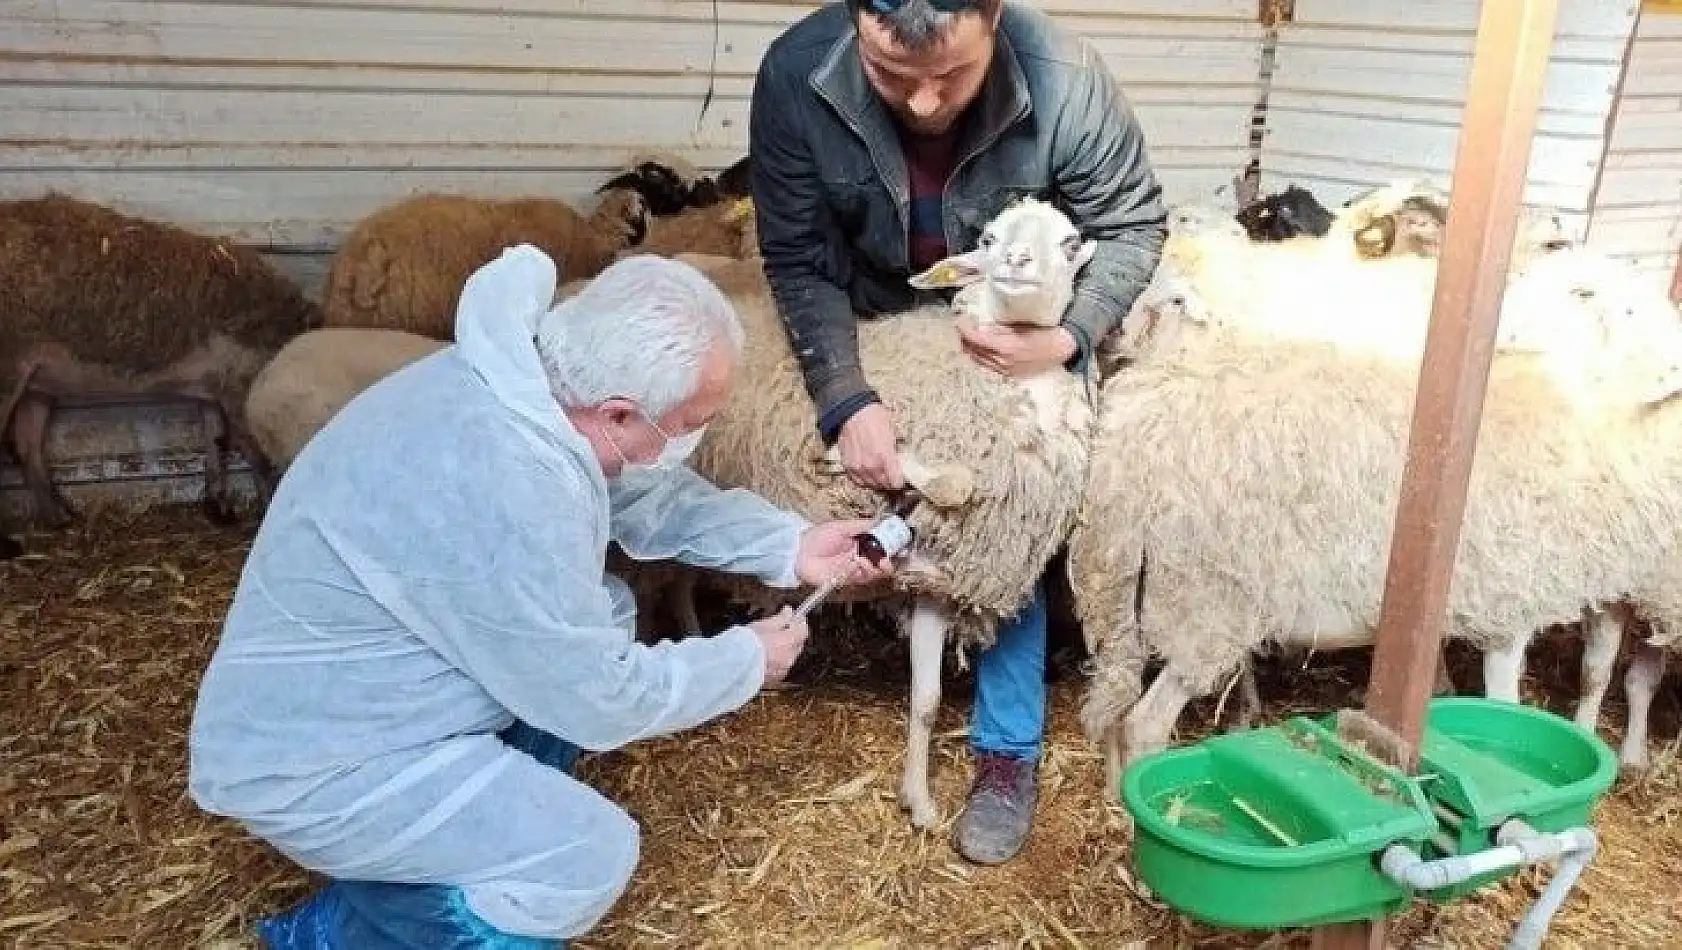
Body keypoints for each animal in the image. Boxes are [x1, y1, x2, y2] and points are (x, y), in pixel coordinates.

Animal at [0, 191, 321, 554]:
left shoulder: (212, 388)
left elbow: (215, 437)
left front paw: (220, 513)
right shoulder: (241, 387)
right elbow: (256, 455)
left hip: (37, 383)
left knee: (27, 445)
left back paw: (62, 519)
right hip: (8, 366)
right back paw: (12, 547)